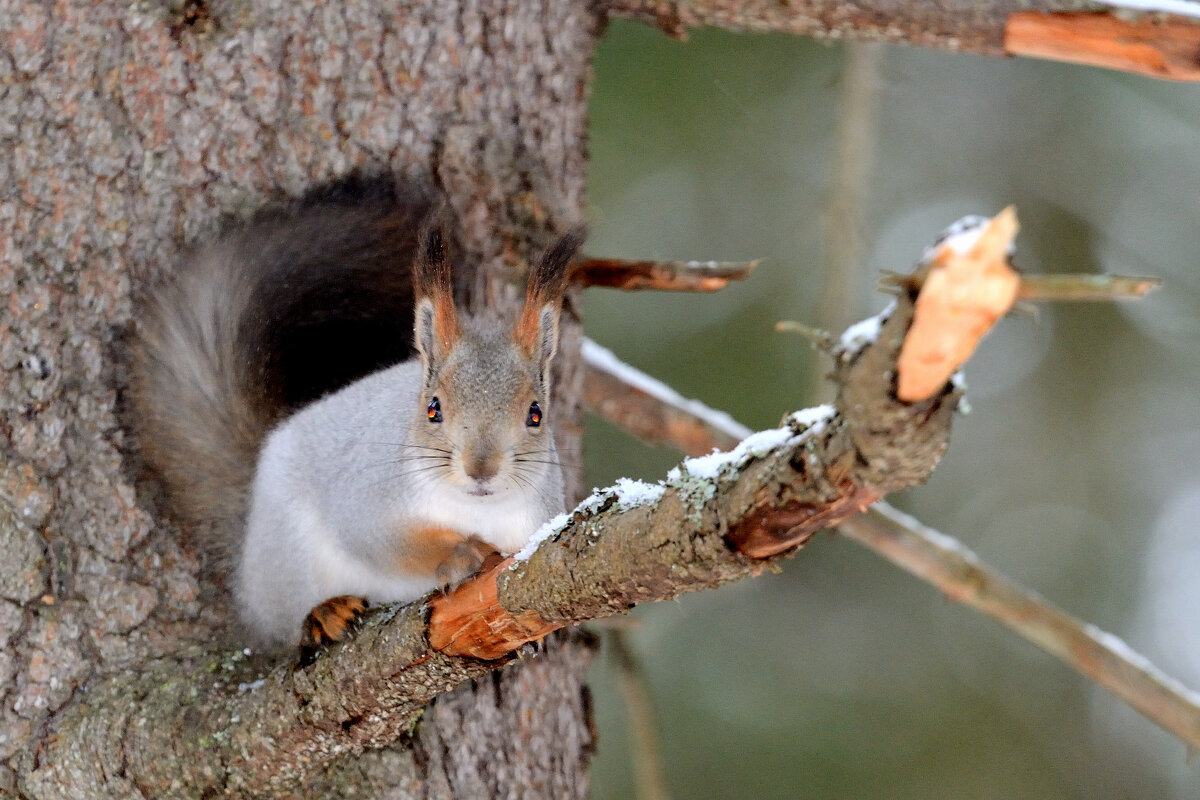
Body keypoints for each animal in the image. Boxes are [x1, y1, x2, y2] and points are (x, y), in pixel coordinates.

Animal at [131, 178, 580, 662]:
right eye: (433, 408)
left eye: (536, 414)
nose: (482, 469)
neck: (475, 509)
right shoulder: (368, 497)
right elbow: (386, 543)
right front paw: (462, 553)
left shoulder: (534, 526)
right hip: (288, 555)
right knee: (280, 623)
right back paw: (323, 614)